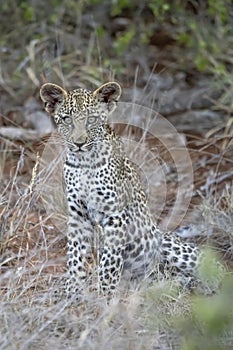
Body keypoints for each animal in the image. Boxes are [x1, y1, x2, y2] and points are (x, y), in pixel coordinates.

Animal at [39, 81, 220, 296]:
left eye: (92, 120)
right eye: (67, 119)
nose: (79, 143)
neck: (83, 162)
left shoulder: (115, 216)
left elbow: (108, 266)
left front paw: (105, 297)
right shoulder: (78, 216)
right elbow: (75, 258)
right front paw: (71, 293)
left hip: (165, 243)